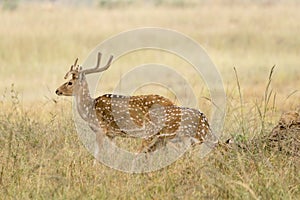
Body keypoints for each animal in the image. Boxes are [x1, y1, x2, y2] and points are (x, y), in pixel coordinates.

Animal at [56, 51, 214, 153]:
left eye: (69, 82)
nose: (57, 90)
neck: (89, 108)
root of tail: (173, 103)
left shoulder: (101, 130)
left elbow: (97, 153)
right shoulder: (112, 134)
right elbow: (113, 153)